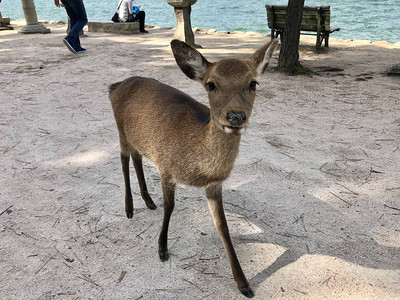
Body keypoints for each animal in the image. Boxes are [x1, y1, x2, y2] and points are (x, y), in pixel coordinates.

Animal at [109, 38, 278, 298]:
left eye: (253, 83)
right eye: (211, 84)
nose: (235, 117)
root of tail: (115, 86)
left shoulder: (214, 185)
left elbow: (223, 226)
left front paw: (244, 284)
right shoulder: (166, 167)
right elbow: (170, 207)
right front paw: (162, 249)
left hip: (139, 139)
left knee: (137, 158)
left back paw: (148, 201)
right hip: (121, 132)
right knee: (124, 159)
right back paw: (129, 209)